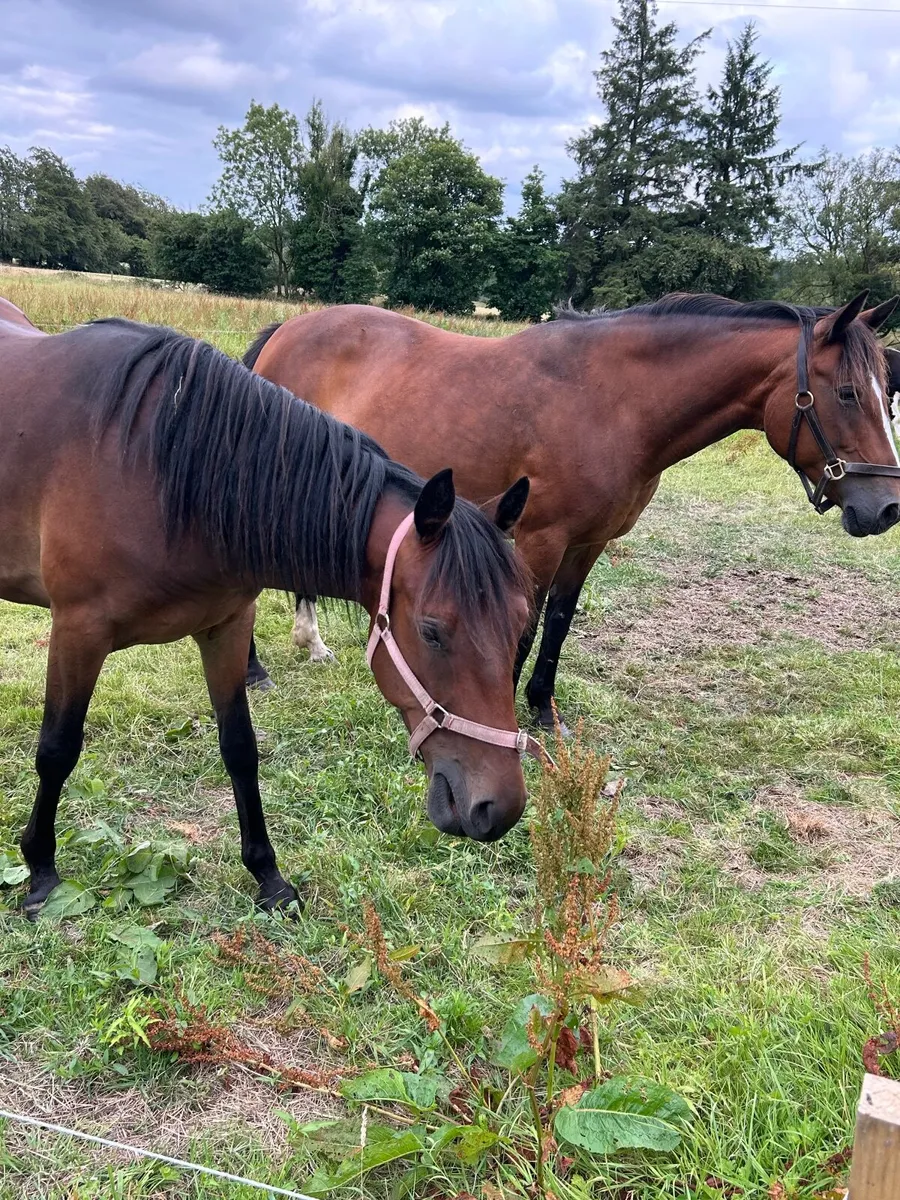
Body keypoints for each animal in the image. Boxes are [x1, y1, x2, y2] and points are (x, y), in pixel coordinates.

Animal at [0, 304, 539, 917]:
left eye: (521, 626)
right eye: (432, 632)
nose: (499, 807)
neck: (160, 468)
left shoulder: (226, 628)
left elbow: (240, 749)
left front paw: (268, 876)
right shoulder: (78, 631)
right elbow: (57, 750)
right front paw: (41, 871)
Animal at [242, 291, 900, 732]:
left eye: (885, 393)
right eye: (847, 393)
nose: (887, 506)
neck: (613, 402)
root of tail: (284, 331)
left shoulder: (587, 543)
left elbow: (558, 622)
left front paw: (542, 710)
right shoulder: (539, 538)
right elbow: (525, 625)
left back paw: (311, 643)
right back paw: (255, 671)